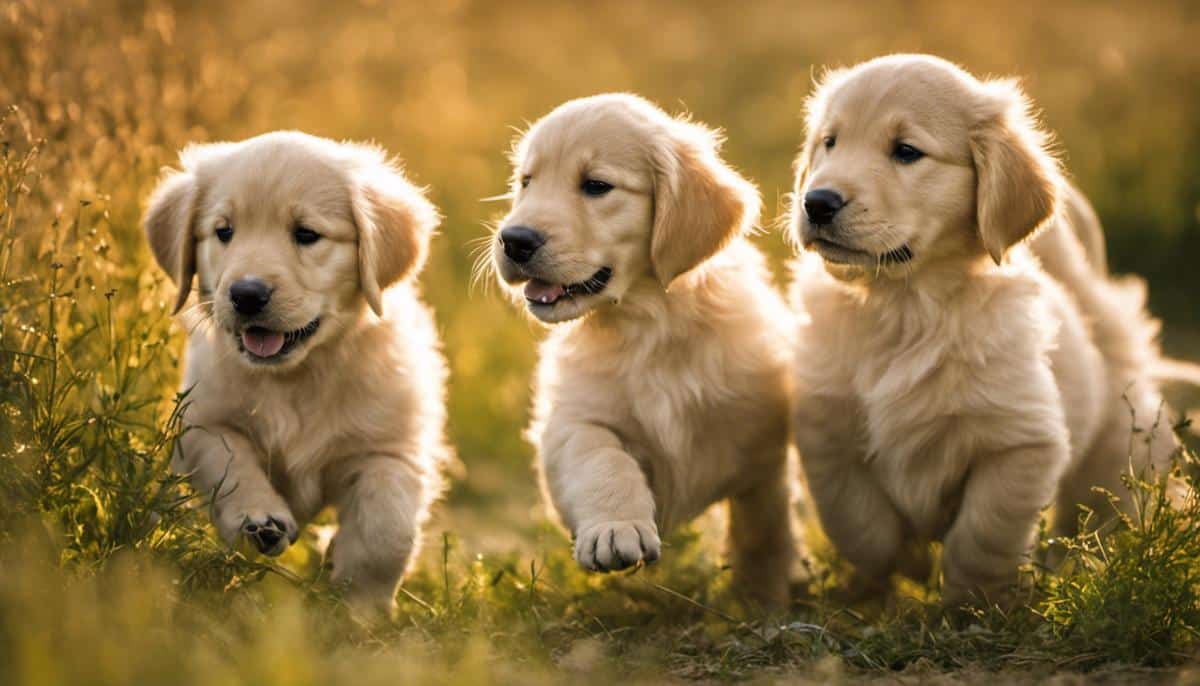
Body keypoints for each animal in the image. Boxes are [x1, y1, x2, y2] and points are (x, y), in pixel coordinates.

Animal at [141, 130, 451, 611]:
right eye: (224, 232)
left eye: (306, 234)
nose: (246, 294)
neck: (297, 376)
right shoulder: (203, 421)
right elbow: (231, 462)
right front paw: (258, 520)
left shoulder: (391, 447)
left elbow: (388, 528)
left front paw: (361, 605)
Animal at [492, 93, 801, 609]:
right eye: (526, 182)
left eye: (596, 186)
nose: (513, 240)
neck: (650, 326)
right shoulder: (570, 421)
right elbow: (602, 458)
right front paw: (615, 529)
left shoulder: (764, 445)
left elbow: (763, 525)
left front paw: (762, 595)